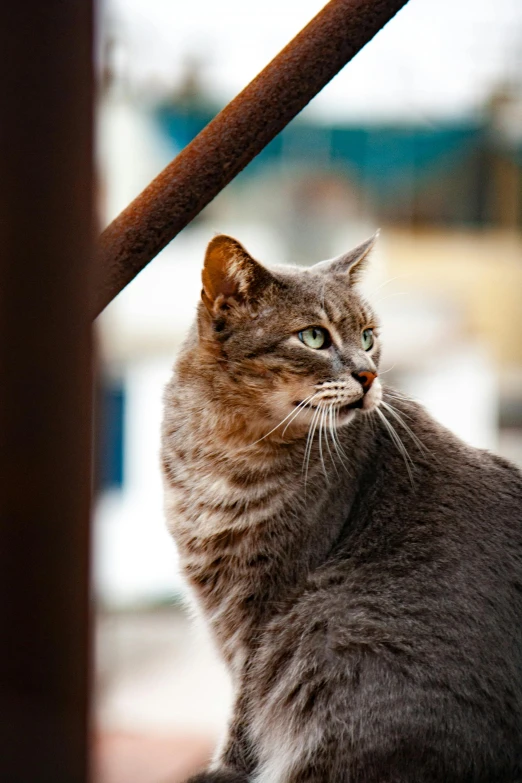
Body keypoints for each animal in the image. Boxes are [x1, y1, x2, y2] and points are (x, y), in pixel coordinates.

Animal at [160, 234, 520, 783]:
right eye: (313, 337)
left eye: (368, 337)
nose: (368, 374)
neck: (230, 447)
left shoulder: (265, 607)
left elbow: (246, 711)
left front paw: (226, 769)